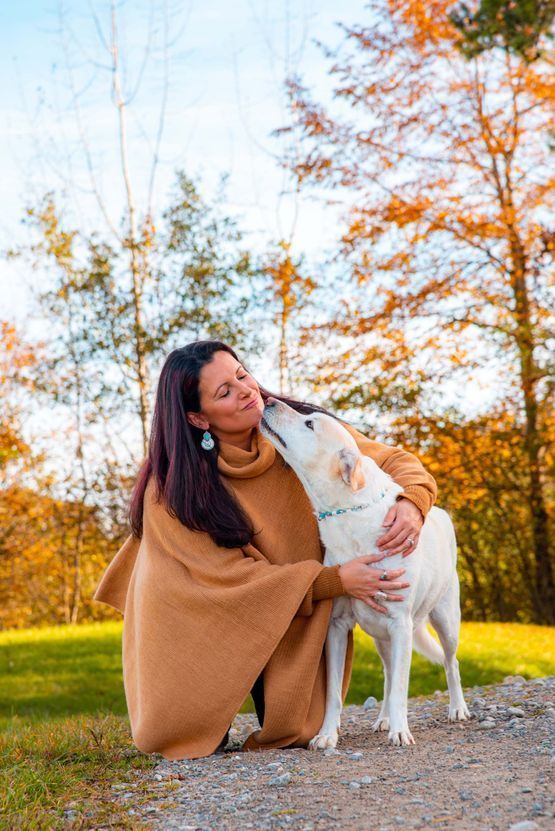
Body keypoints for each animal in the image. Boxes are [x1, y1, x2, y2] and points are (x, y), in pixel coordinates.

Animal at [260, 400, 470, 752]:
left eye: (309, 424)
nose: (270, 401)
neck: (346, 513)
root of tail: (441, 512)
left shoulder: (401, 625)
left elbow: (401, 688)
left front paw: (400, 732)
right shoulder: (336, 626)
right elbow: (334, 694)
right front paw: (327, 734)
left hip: (445, 620)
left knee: (450, 662)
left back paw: (457, 708)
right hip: (381, 635)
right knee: (387, 673)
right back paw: (383, 718)